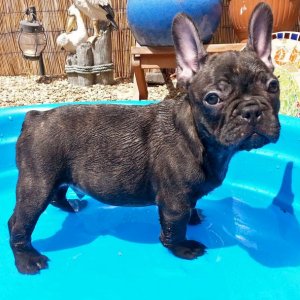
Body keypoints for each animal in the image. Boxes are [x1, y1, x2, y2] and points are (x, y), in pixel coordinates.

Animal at [9, 2, 282, 274]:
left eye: (273, 87)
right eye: (213, 98)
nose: (251, 110)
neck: (199, 139)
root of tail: (34, 117)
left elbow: (192, 207)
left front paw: (195, 217)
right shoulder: (174, 201)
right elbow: (175, 227)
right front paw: (183, 248)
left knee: (58, 194)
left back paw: (71, 207)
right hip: (38, 184)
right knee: (18, 223)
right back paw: (28, 259)